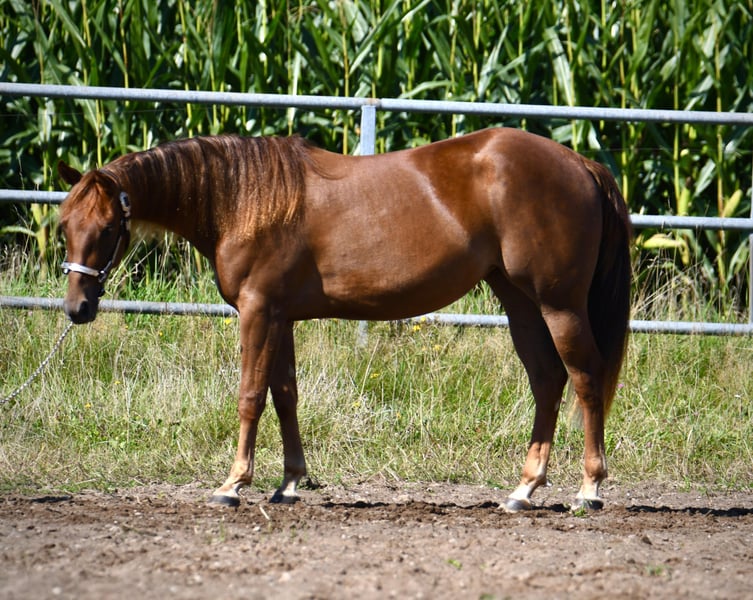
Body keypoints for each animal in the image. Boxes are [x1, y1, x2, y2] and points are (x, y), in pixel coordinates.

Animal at [57, 127, 631, 512]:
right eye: (65, 225)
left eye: (107, 228)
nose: (77, 308)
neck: (242, 200)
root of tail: (580, 163)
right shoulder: (280, 316)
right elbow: (285, 394)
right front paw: (289, 483)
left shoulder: (258, 311)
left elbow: (250, 395)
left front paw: (232, 485)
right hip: (518, 300)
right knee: (547, 379)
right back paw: (523, 489)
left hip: (558, 304)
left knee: (584, 379)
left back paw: (589, 489)